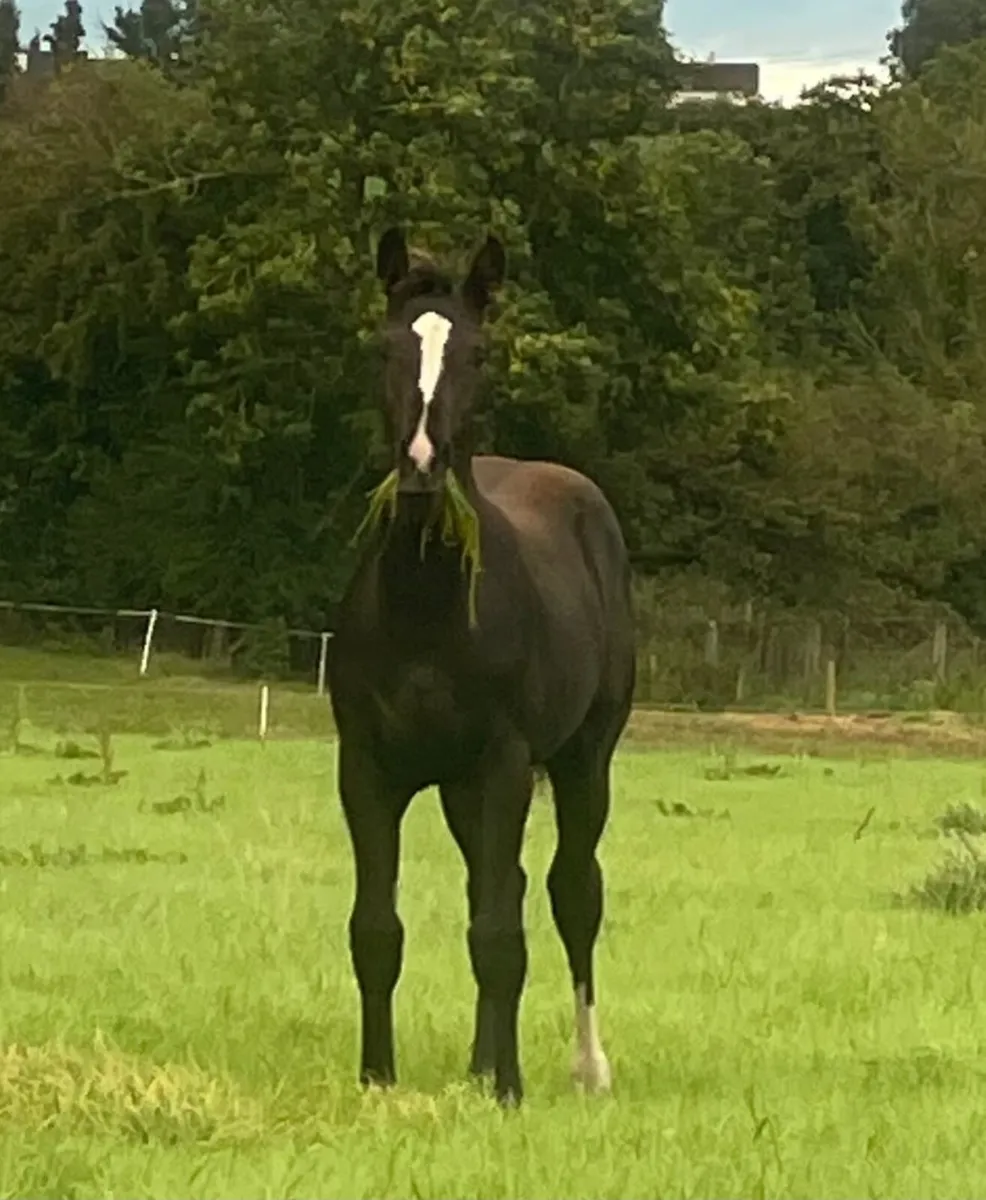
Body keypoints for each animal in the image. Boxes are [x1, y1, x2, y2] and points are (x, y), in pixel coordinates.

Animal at [327, 227, 636, 1105]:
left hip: (581, 760)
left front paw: (508, 1090)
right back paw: (478, 1057)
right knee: (501, 887)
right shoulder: (367, 769)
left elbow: (501, 935)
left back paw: (584, 1067)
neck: (427, 610)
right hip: (463, 789)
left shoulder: (503, 764)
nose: (423, 467)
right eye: (386, 346)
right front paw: (378, 1077)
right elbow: (378, 928)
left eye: (477, 351)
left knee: (571, 893)